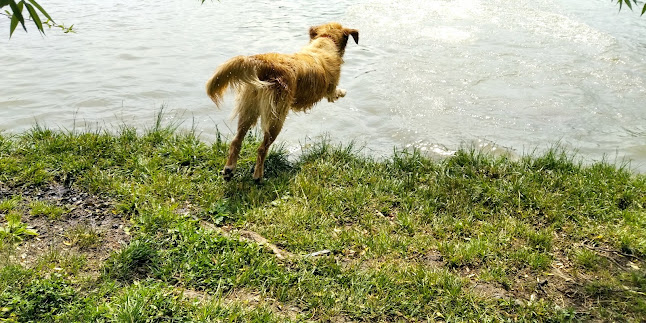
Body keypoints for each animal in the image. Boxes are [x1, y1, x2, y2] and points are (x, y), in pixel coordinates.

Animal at [208, 22, 360, 182]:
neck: (325, 41)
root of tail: (263, 62)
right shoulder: (330, 90)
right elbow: (335, 93)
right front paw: (343, 92)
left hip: (248, 109)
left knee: (236, 140)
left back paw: (229, 169)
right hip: (276, 118)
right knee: (262, 148)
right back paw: (258, 176)